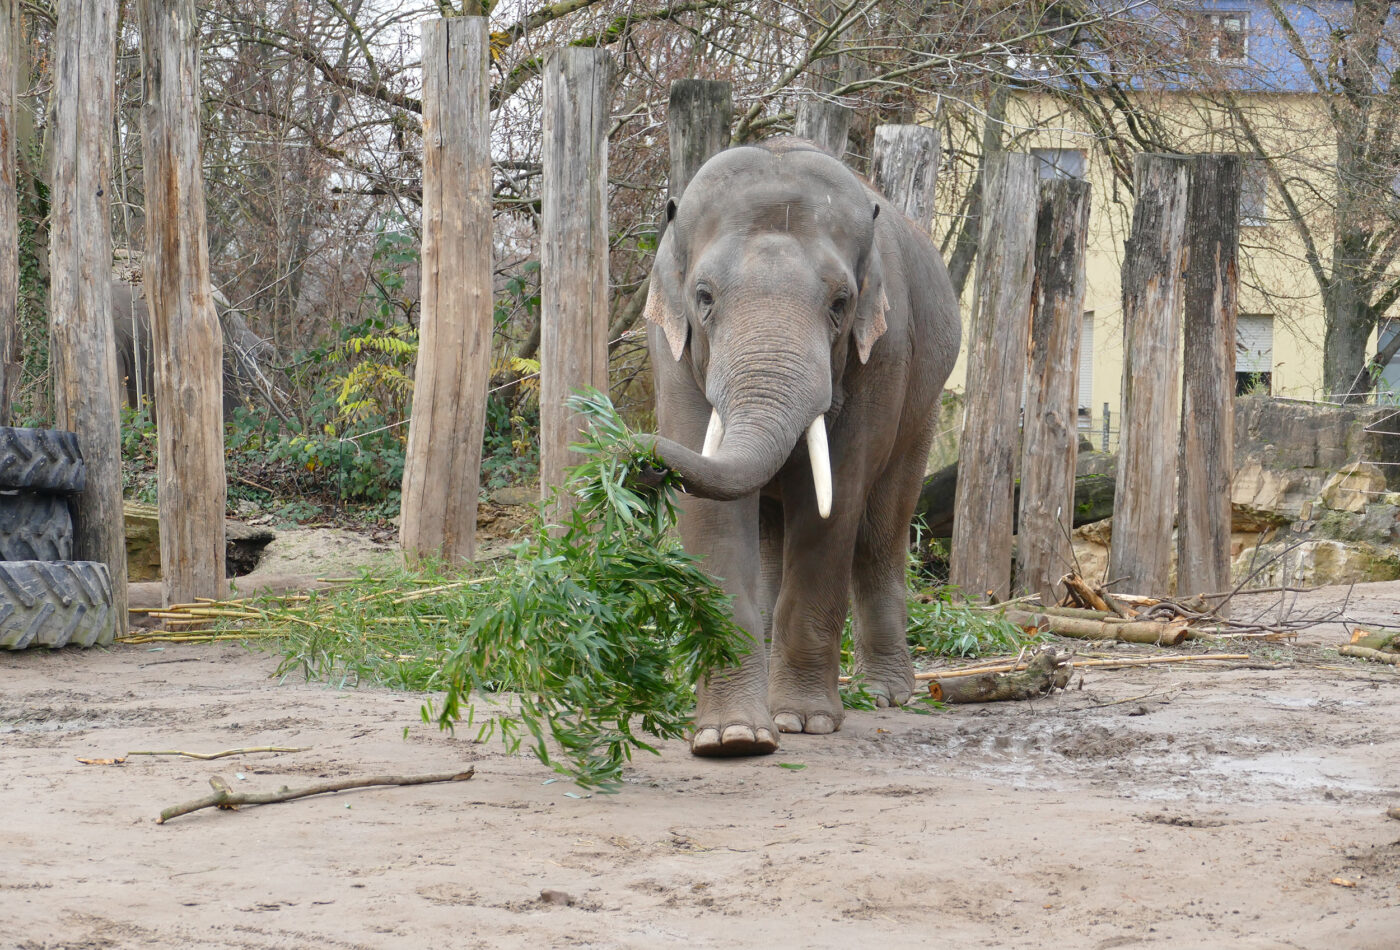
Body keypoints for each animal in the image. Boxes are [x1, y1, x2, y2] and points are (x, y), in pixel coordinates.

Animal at [644, 139, 963, 755]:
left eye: (840, 303)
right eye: (703, 298)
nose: (638, 460)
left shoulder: (883, 351)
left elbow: (833, 504)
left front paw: (803, 721)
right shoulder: (671, 351)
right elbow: (713, 516)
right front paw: (734, 737)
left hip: (925, 406)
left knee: (882, 529)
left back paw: (884, 693)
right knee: (772, 532)